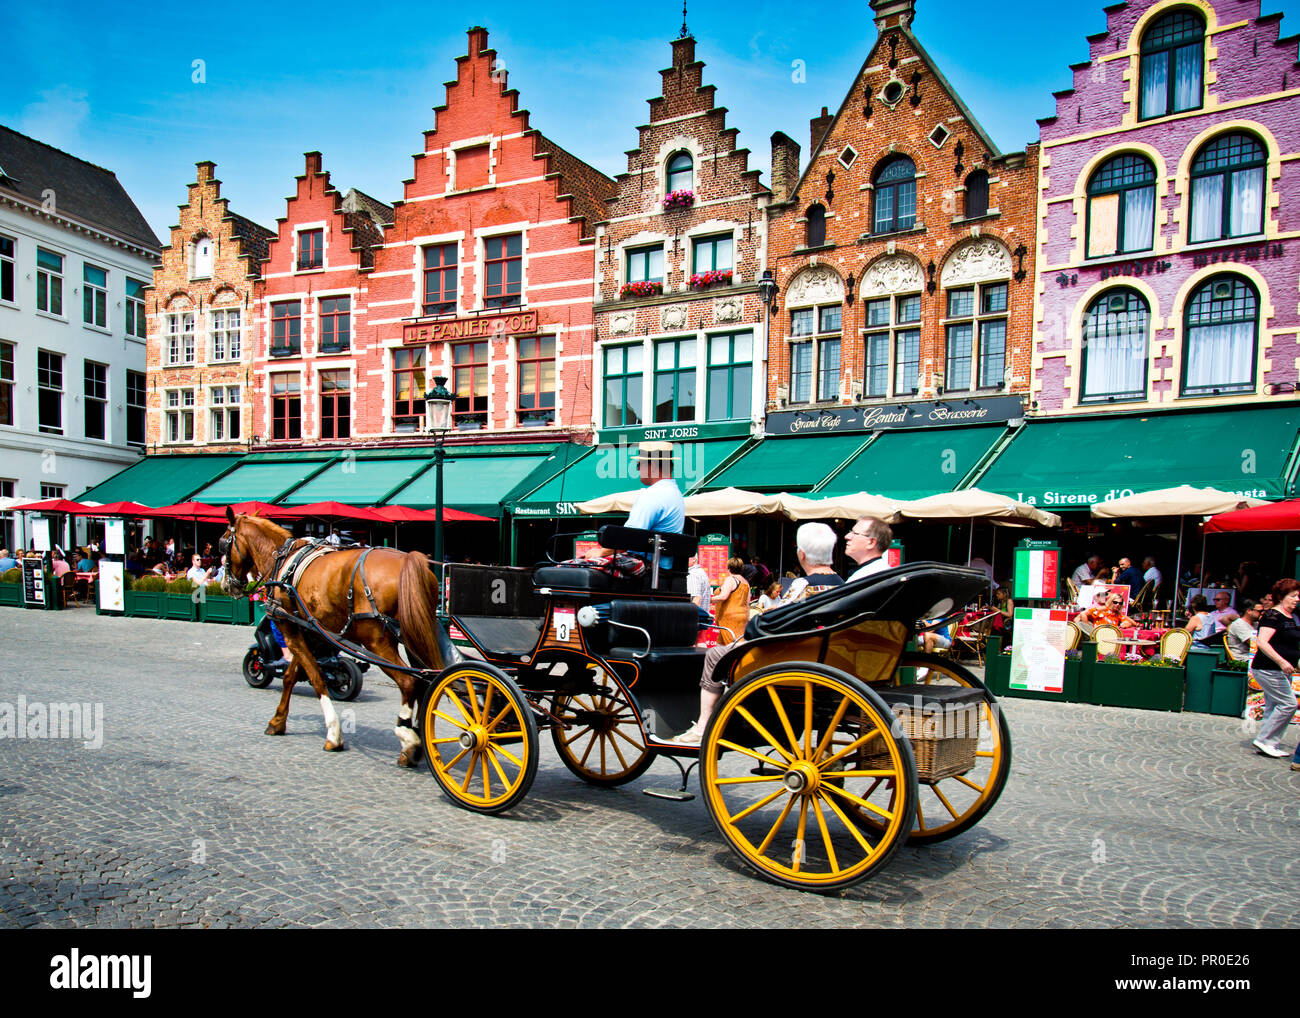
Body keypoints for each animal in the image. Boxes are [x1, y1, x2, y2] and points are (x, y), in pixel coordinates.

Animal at [218, 509, 447, 764]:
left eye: (222, 544)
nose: (227, 585)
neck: (284, 560)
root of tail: (408, 560)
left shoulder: (290, 629)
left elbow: (317, 678)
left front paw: (334, 734)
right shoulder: (309, 632)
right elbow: (291, 676)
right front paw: (277, 721)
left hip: (376, 641)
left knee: (409, 682)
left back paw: (407, 739)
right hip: (414, 635)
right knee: (424, 680)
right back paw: (419, 738)